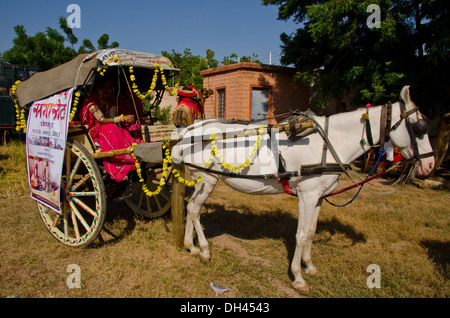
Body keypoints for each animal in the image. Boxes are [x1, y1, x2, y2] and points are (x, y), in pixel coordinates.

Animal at [171, 85, 434, 294]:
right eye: (419, 126)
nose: (430, 164)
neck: (328, 143)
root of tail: (189, 131)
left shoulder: (318, 197)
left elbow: (312, 231)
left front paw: (310, 266)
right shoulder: (307, 196)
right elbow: (301, 233)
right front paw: (298, 277)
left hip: (200, 180)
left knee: (190, 207)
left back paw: (190, 246)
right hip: (207, 179)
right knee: (194, 210)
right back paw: (204, 250)